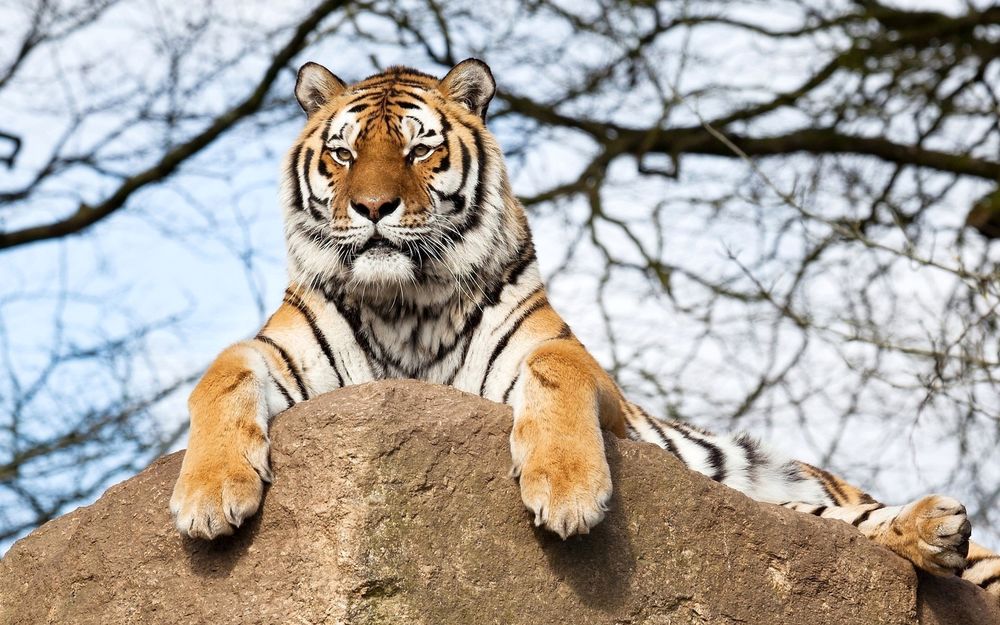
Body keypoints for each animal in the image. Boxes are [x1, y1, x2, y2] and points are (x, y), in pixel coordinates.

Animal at [169, 58, 1000, 599]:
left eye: (418, 147)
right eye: (342, 154)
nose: (373, 208)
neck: (406, 301)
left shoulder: (570, 362)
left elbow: (553, 374)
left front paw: (567, 491)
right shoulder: (278, 349)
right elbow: (218, 373)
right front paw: (209, 496)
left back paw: (939, 525)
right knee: (824, 525)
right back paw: (931, 533)